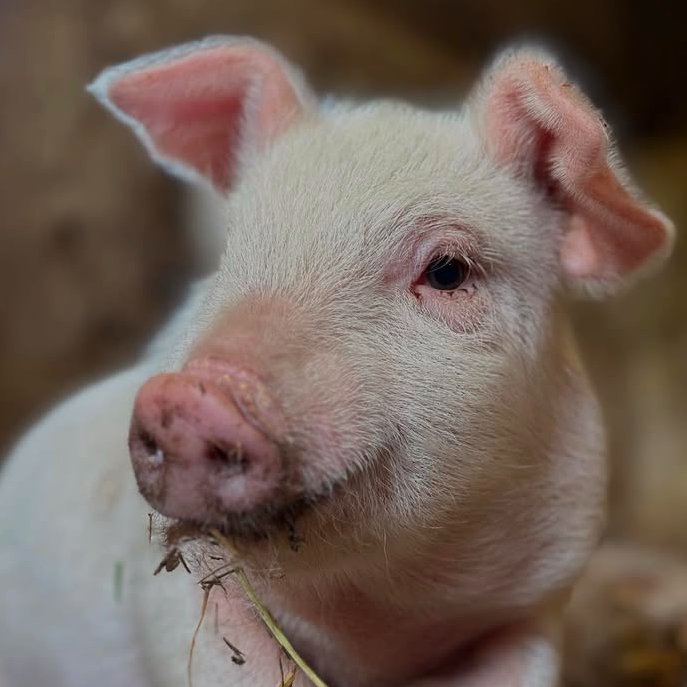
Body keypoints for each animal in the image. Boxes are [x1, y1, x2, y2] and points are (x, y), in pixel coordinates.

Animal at [0, 36, 675, 687]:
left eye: (448, 271)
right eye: (230, 253)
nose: (193, 396)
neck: (377, 621)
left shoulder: (535, 605)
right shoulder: (167, 588)